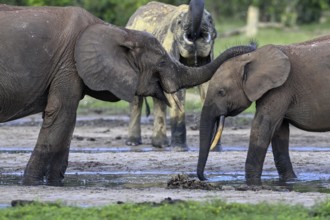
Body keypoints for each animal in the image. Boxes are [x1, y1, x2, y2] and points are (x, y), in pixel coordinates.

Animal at [124, 0, 217, 150]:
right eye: (179, 22)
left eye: (210, 20)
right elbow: (176, 91)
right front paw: (180, 149)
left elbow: (208, 86)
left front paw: (214, 149)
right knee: (136, 100)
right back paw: (133, 142)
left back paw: (160, 145)